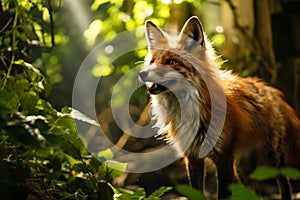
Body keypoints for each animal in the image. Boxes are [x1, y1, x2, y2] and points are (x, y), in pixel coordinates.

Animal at [139, 16, 300, 199]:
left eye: (171, 61)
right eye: (152, 61)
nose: (142, 74)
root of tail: (269, 89)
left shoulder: (223, 157)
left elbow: (222, 193)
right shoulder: (193, 157)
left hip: (272, 158)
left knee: (285, 185)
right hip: (244, 169)